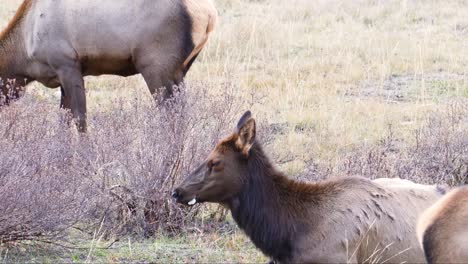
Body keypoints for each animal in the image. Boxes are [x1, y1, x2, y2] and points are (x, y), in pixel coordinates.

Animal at [0, 0, 216, 131]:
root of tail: (209, 15)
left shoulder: (67, 64)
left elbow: (80, 118)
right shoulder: (61, 75)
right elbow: (63, 120)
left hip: (156, 67)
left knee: (171, 118)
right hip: (179, 70)